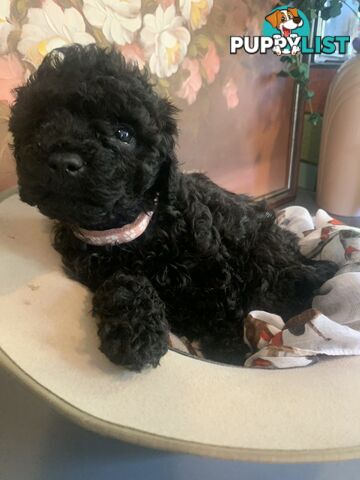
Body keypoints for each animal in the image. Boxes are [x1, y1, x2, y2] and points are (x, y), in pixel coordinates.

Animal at [9, 45, 338, 370]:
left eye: (124, 134)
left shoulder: (218, 272)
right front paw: (136, 332)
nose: (64, 161)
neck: (133, 235)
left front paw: (229, 354)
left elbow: (224, 313)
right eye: (41, 123)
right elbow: (122, 281)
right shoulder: (96, 268)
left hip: (263, 250)